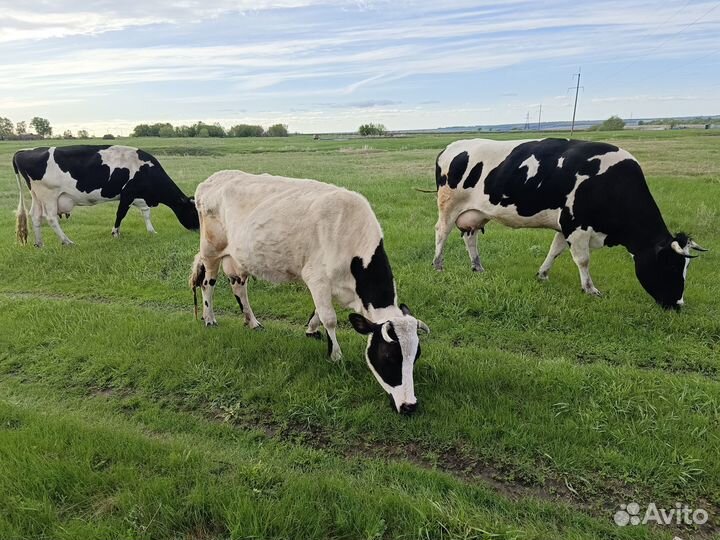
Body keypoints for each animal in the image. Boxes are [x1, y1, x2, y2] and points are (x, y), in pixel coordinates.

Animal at [13, 145, 199, 247]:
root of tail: (22, 152)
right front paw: (115, 233)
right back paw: (67, 242)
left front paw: (152, 231)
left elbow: (146, 212)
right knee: (51, 218)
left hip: (37, 195)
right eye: (193, 212)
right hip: (49, 195)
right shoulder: (127, 194)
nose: (198, 229)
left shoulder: (139, 196)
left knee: (35, 215)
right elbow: (120, 214)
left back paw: (40, 243)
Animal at [189, 170, 430, 413]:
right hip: (211, 251)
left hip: (237, 259)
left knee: (239, 286)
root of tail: (213, 179)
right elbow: (329, 318)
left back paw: (253, 322)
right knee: (208, 284)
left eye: (416, 356)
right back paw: (209, 319)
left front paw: (312, 330)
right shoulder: (317, 278)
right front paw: (335, 355)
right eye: (388, 356)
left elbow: (318, 312)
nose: (409, 405)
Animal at [432, 138, 706, 309]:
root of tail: (451, 147)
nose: (678, 305)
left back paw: (477, 267)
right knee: (442, 232)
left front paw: (542, 274)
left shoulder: (566, 226)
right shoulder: (576, 224)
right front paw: (590, 289)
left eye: (686, 267)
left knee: (470, 238)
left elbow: (555, 250)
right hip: (449, 205)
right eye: (671, 265)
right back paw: (438, 265)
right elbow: (583, 260)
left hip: (476, 213)